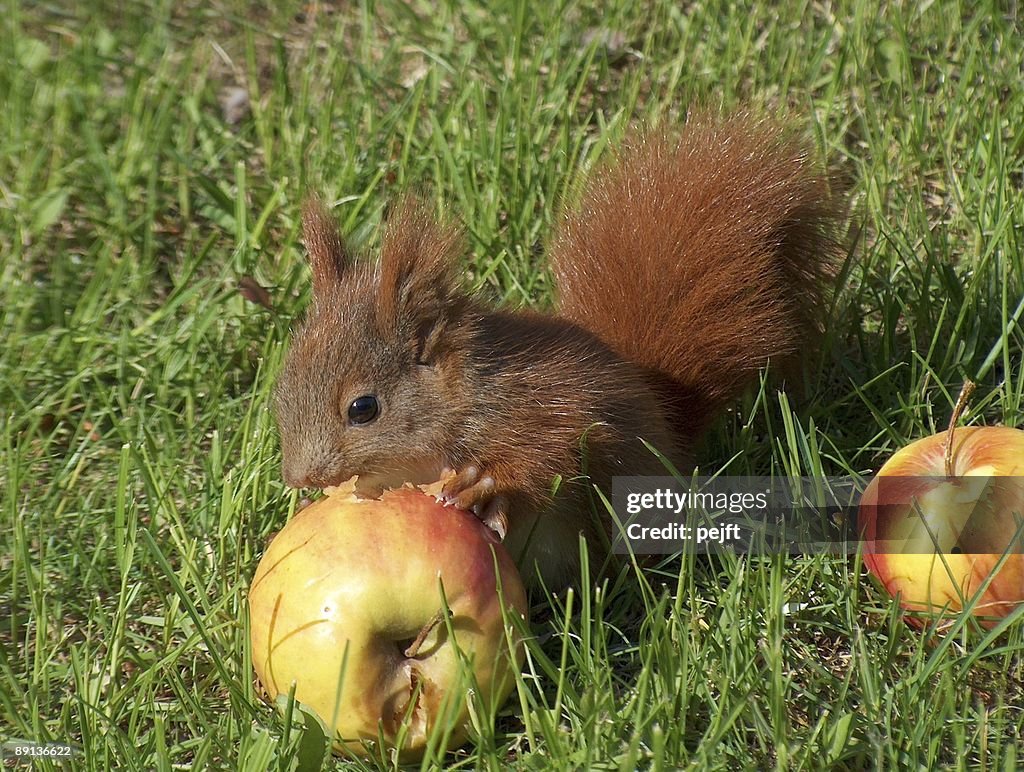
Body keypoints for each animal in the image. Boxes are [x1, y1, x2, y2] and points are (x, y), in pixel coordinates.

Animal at [276, 111, 843, 585]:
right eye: (282, 387)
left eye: (363, 408)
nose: (299, 478)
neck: (464, 397)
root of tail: (670, 433)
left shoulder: (542, 410)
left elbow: (551, 455)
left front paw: (484, 486)